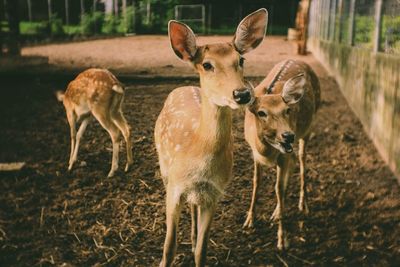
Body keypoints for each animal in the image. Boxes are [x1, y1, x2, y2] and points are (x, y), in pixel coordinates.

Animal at [155, 8, 268, 267]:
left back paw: (192, 237)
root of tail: (181, 88)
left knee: (193, 207)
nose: (242, 93)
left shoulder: (215, 192)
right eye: (207, 64)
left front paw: (196, 244)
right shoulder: (174, 187)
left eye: (241, 60)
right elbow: (168, 249)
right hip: (164, 168)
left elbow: (202, 250)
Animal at [241, 59, 322, 250]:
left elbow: (278, 188)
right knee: (293, 163)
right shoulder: (254, 154)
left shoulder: (283, 156)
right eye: (261, 112)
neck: (266, 151)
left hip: (309, 127)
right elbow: (256, 182)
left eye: (287, 110)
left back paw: (303, 205)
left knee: (301, 160)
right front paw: (249, 220)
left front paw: (282, 241)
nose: (288, 135)